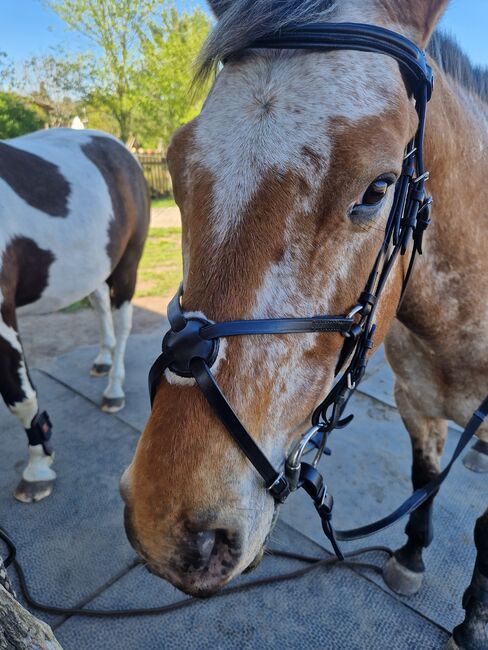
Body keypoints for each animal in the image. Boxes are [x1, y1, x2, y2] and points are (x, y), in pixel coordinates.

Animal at [0, 126, 149, 502]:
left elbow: (20, 396)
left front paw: (37, 469)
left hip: (127, 264)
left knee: (122, 323)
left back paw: (114, 388)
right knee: (98, 304)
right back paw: (103, 359)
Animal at [121, 2, 484, 644]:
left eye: (379, 188)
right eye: (180, 162)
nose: (164, 517)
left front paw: (471, 622)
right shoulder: (416, 404)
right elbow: (423, 480)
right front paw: (412, 555)